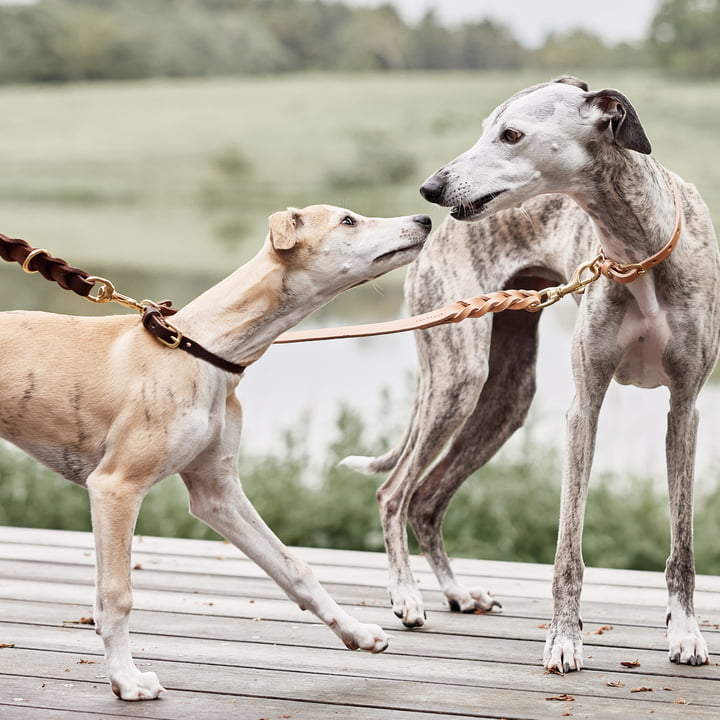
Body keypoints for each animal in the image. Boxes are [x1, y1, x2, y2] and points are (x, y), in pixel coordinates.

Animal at [0, 205, 430, 700]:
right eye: (347, 221)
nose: (424, 218)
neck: (201, 349)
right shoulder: (115, 487)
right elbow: (117, 593)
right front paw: (126, 679)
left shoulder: (216, 492)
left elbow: (294, 567)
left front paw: (356, 632)